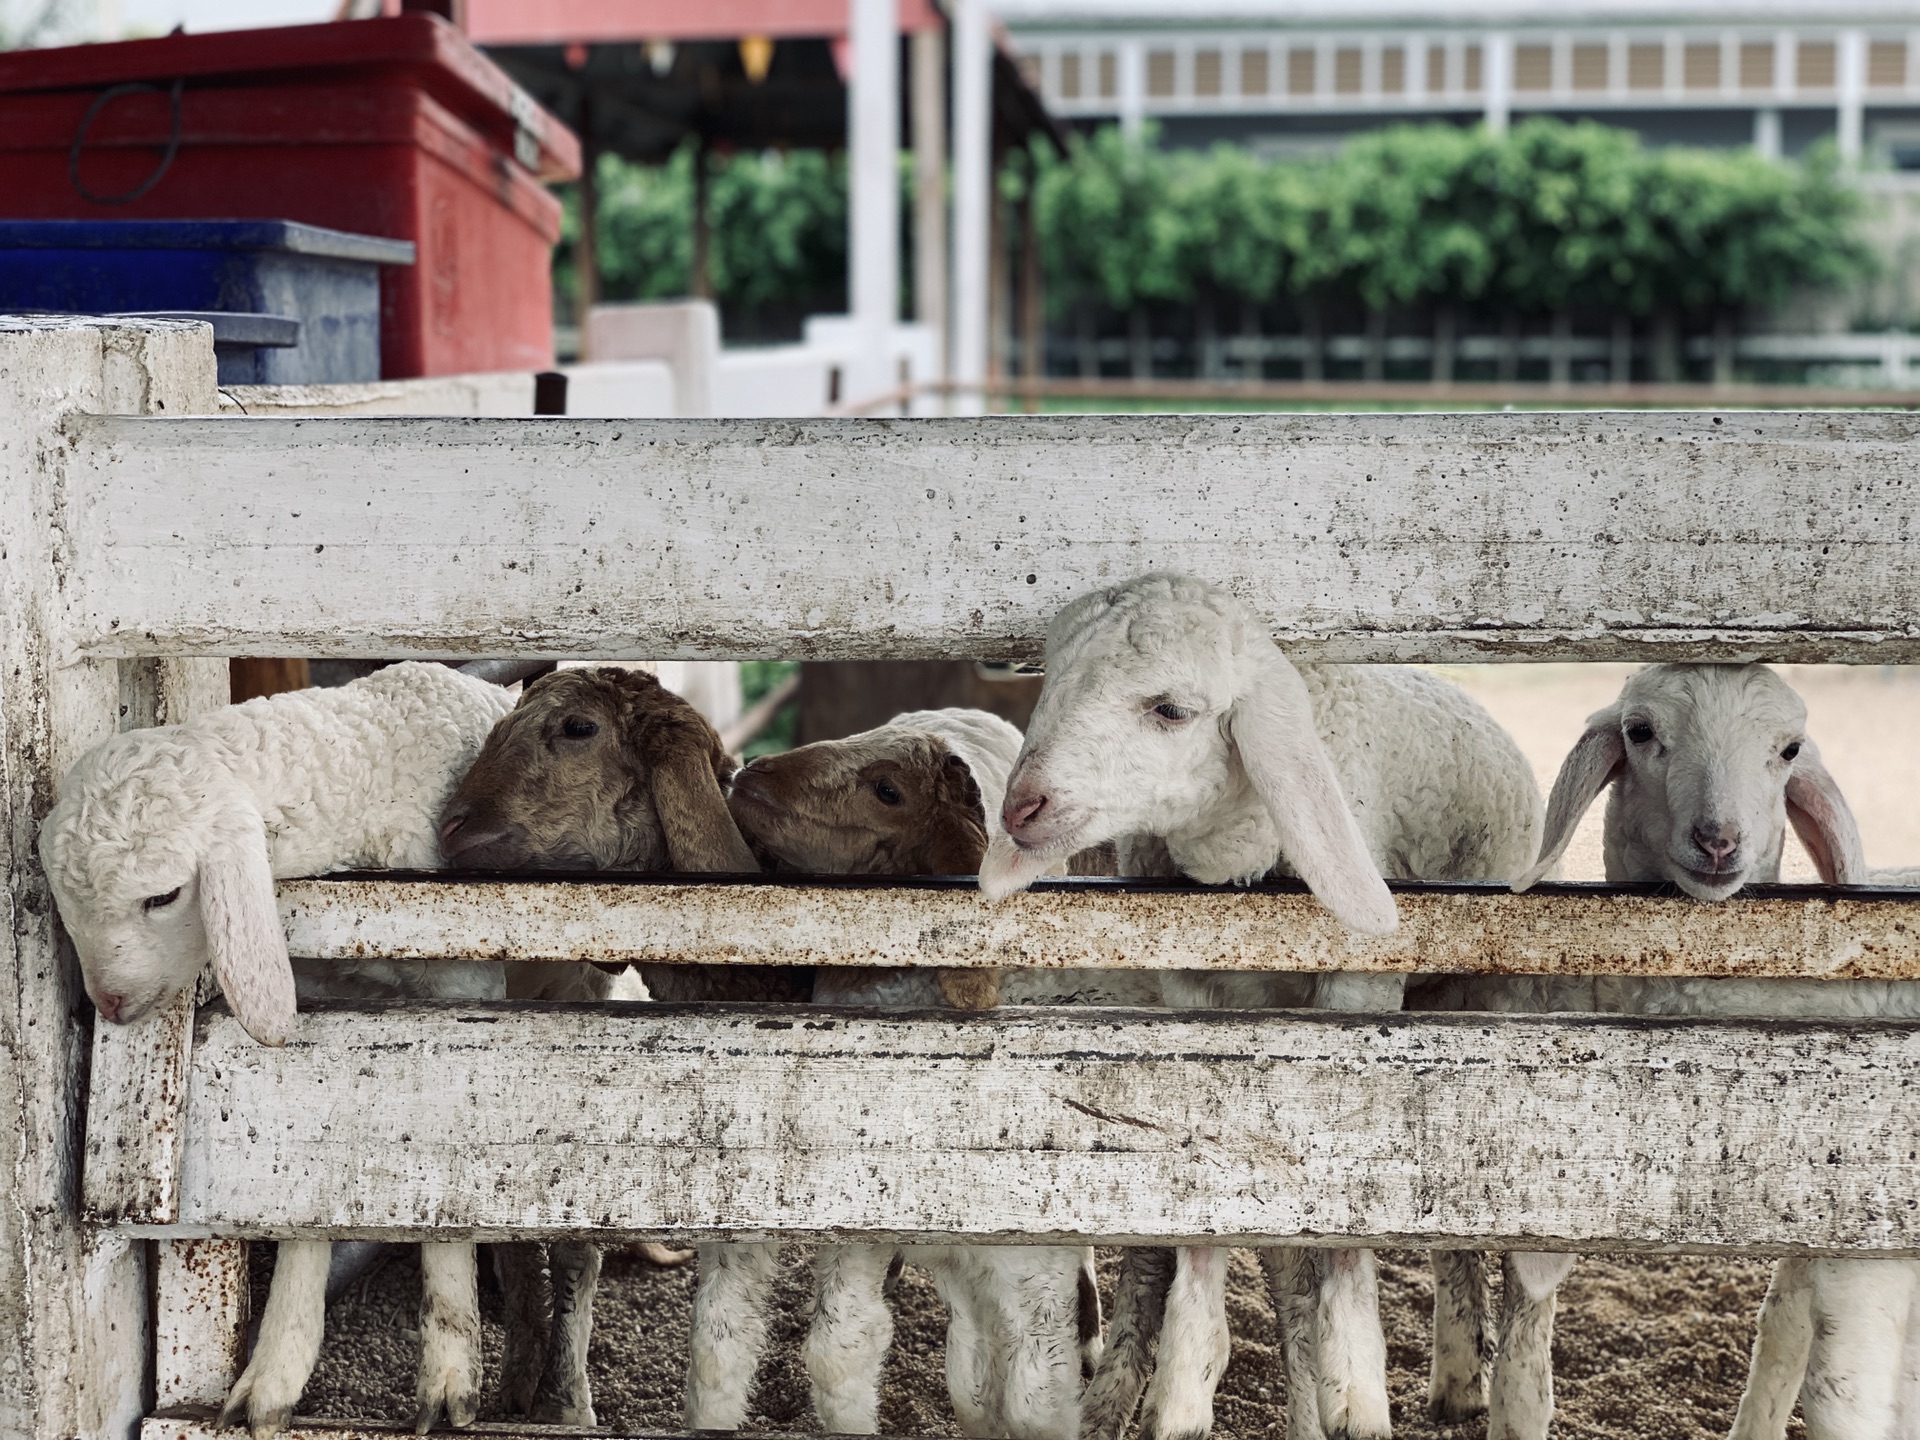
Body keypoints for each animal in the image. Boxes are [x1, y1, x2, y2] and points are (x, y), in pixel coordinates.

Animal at [38, 664, 518, 1440]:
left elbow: (447, 1176)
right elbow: (302, 1195)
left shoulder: (464, 988)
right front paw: (273, 1380)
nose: (108, 1005)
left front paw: (449, 1377)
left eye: (164, 896)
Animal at [975, 576, 1543, 1440]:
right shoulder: (1197, 999)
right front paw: (1188, 1390)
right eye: (1047, 683)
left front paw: (1356, 1394)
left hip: (1488, 992)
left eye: (1172, 709)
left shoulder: (1358, 995)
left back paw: (1468, 1381)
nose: (1021, 809)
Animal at [1497, 672, 1920, 1440]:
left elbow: (1843, 1394)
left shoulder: (1873, 1234)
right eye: (1639, 732)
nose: (1719, 840)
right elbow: (1785, 1332)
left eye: (1789, 750)